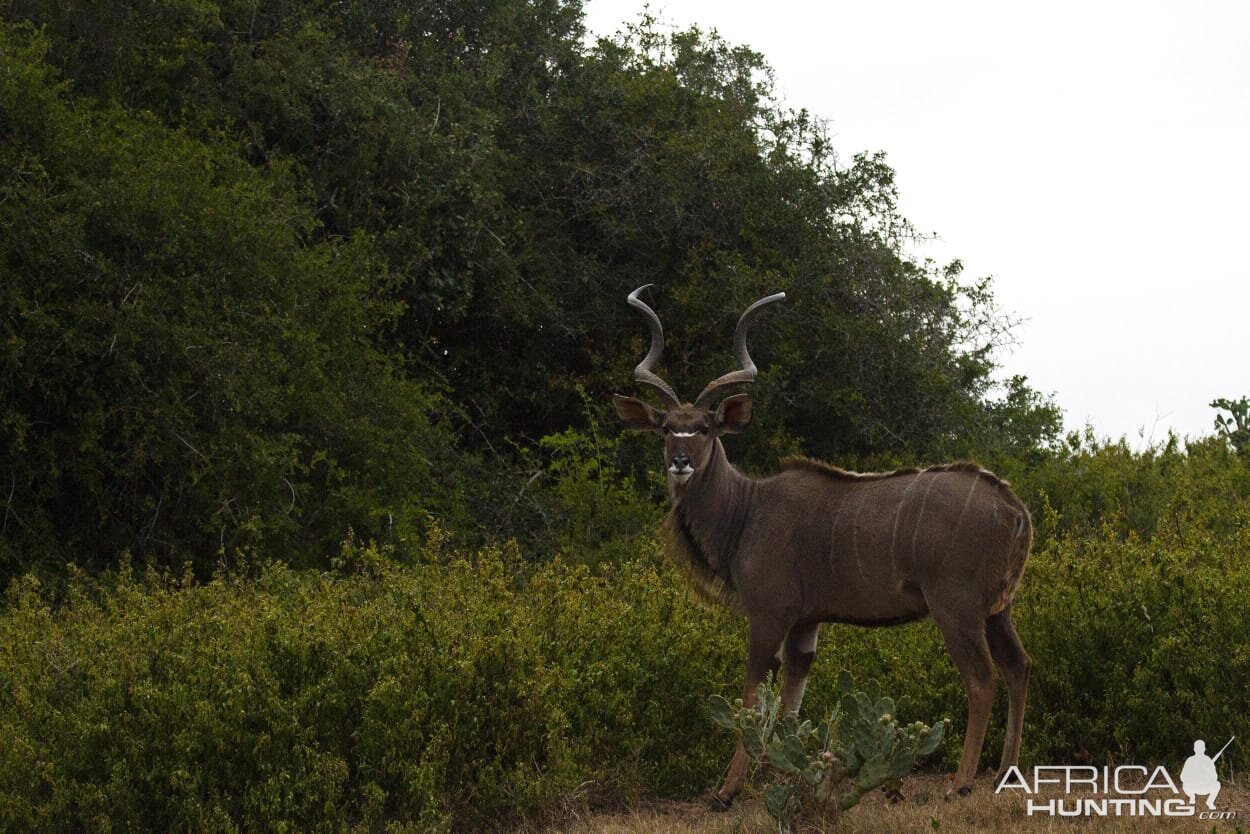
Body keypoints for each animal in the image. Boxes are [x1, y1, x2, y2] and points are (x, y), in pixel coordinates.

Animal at [615, 285, 1035, 800]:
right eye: (665, 427)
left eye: (705, 428)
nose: (680, 461)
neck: (746, 511)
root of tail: (1015, 510)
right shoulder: (805, 624)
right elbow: (790, 704)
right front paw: (784, 779)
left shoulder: (769, 614)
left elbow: (752, 700)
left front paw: (727, 792)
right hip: (997, 610)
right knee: (1018, 667)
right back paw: (1004, 773)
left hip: (956, 607)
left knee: (982, 679)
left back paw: (961, 783)